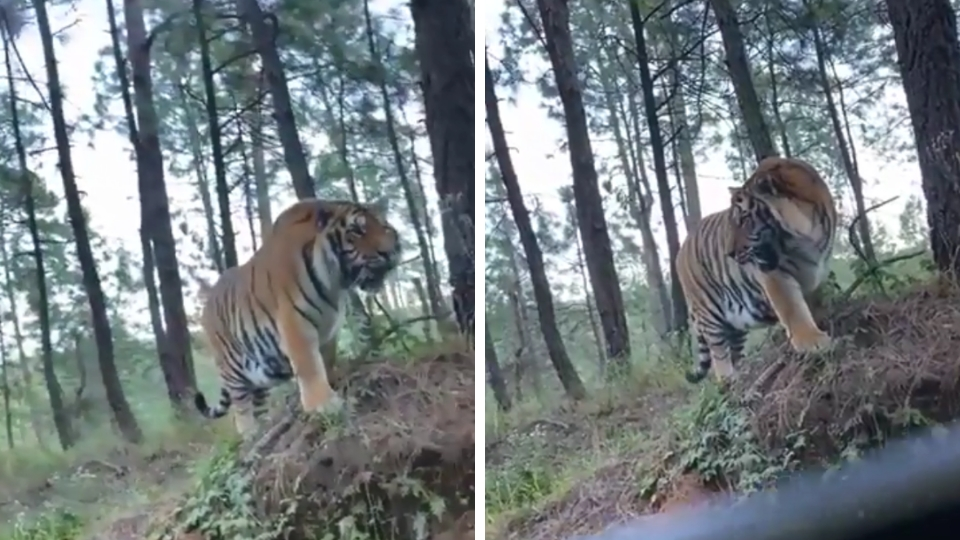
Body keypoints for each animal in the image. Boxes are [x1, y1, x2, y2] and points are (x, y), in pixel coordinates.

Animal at [193, 198, 401, 435]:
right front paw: (323, 405)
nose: (388, 253)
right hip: (233, 366)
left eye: (385, 228)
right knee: (241, 407)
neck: (335, 283)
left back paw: (265, 427)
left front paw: (333, 381)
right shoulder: (295, 324)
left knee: (258, 403)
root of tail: (206, 304)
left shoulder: (328, 329)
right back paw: (251, 434)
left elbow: (325, 360)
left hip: (259, 375)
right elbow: (309, 365)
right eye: (356, 231)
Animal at [677, 156, 838, 384]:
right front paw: (812, 343)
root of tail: (681, 249)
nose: (729, 254)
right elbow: (793, 309)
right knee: (718, 351)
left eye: (744, 219)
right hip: (708, 312)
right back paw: (727, 380)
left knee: (734, 349)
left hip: (735, 322)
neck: (808, 236)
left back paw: (741, 374)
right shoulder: (774, 275)